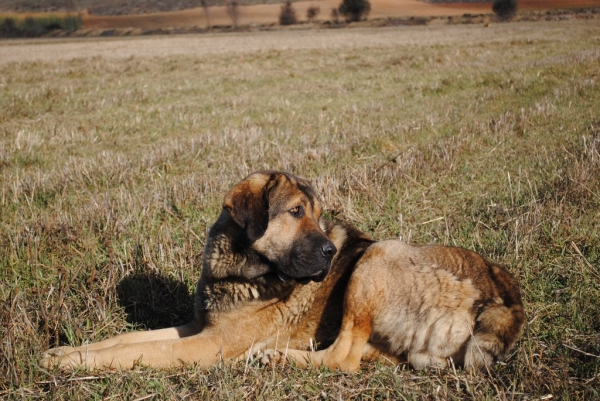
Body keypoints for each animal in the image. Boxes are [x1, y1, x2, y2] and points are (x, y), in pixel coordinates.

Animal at [39, 170, 524, 370]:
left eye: (319, 216)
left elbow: (136, 352)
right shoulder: (197, 327)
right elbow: (128, 340)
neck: (240, 268)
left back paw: (276, 356)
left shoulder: (209, 344)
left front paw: (74, 364)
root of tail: (504, 297)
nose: (332, 251)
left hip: (378, 256)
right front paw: (66, 352)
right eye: (295, 212)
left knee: (342, 360)